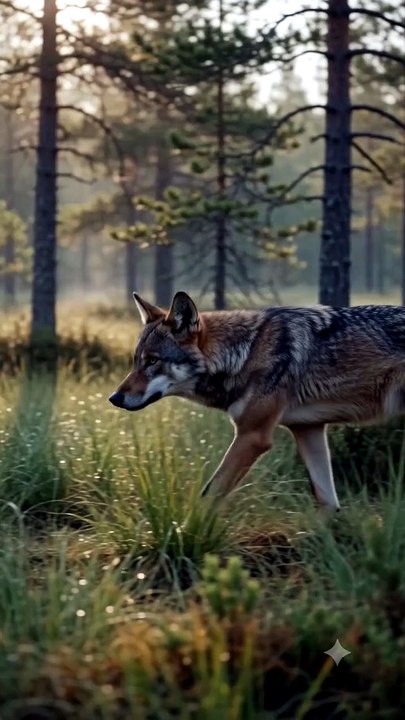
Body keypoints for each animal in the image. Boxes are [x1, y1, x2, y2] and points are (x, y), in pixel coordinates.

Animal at [109, 291, 405, 513]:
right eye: (136, 361)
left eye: (153, 361)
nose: (114, 398)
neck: (245, 353)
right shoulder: (308, 429)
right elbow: (327, 501)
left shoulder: (253, 436)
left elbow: (209, 494)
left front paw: (187, 532)